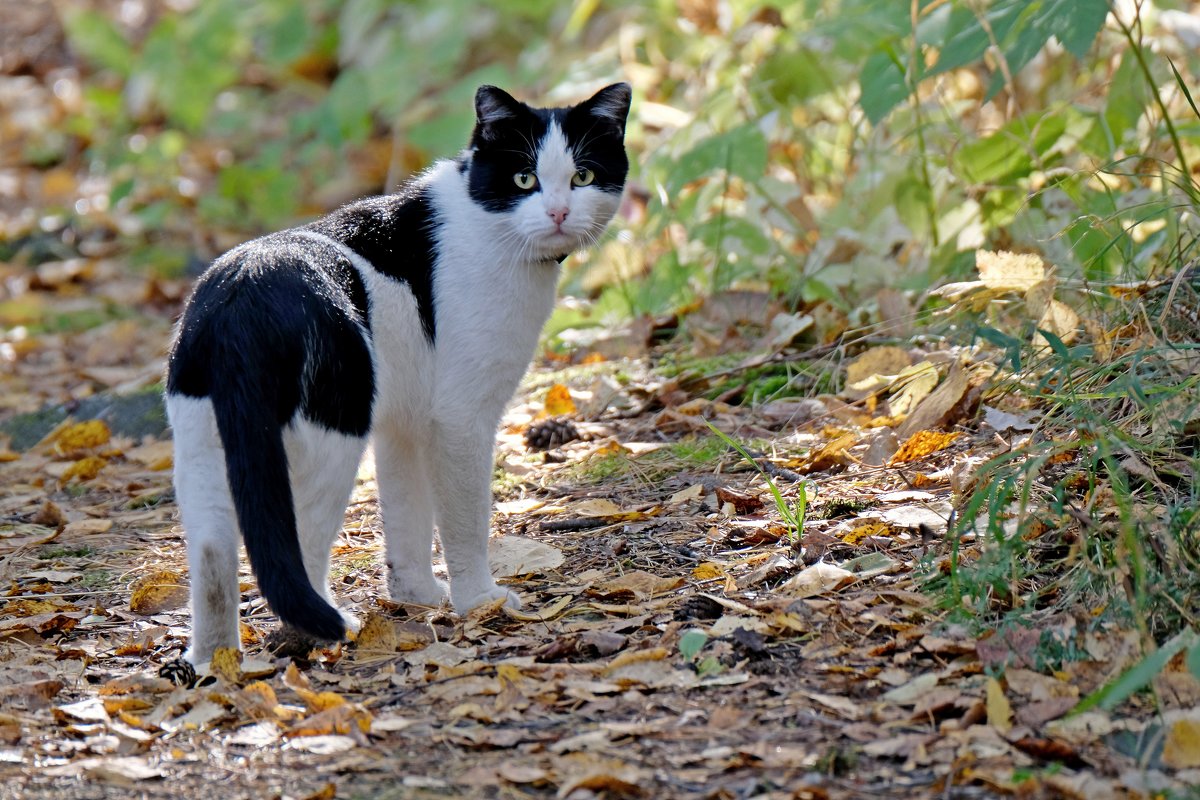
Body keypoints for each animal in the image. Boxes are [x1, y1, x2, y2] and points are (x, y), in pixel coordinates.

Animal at [165, 84, 633, 666]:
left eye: (583, 176)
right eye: (524, 178)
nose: (559, 212)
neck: (485, 226)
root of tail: (243, 290)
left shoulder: (405, 424)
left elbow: (407, 516)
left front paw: (419, 597)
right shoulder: (459, 418)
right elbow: (464, 519)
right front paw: (478, 601)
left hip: (203, 447)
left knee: (212, 556)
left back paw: (216, 665)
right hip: (328, 437)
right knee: (298, 550)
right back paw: (319, 636)